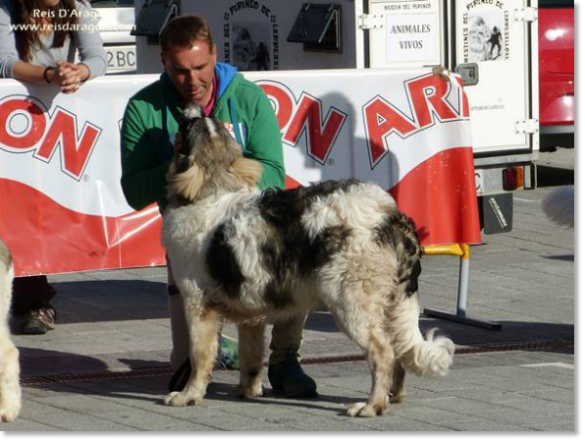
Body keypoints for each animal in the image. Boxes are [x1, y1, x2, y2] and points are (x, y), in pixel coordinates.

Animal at [162, 105, 454, 416]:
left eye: (187, 129)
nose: (192, 108)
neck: (213, 189)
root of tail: (391, 216)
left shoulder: (198, 304)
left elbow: (199, 355)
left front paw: (187, 395)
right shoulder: (250, 309)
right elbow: (251, 356)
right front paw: (247, 392)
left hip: (351, 305)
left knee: (383, 352)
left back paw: (370, 406)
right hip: (387, 305)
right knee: (398, 350)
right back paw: (392, 395)